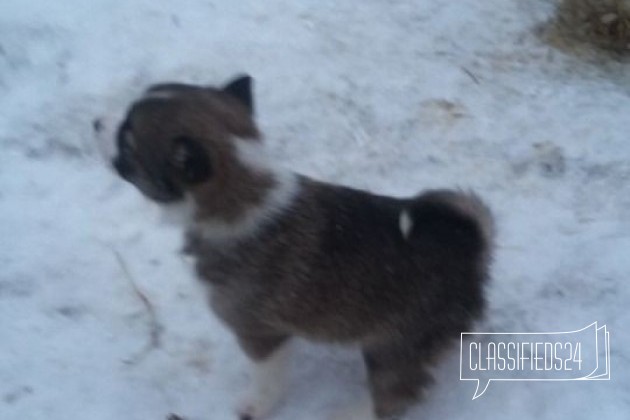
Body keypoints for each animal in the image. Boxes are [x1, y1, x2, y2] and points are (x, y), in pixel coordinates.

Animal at [108, 76, 496, 420]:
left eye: (127, 142)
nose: (98, 122)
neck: (241, 192)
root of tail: (469, 246)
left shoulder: (259, 334)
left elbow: (266, 378)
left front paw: (256, 406)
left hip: (392, 349)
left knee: (396, 395)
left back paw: (350, 414)